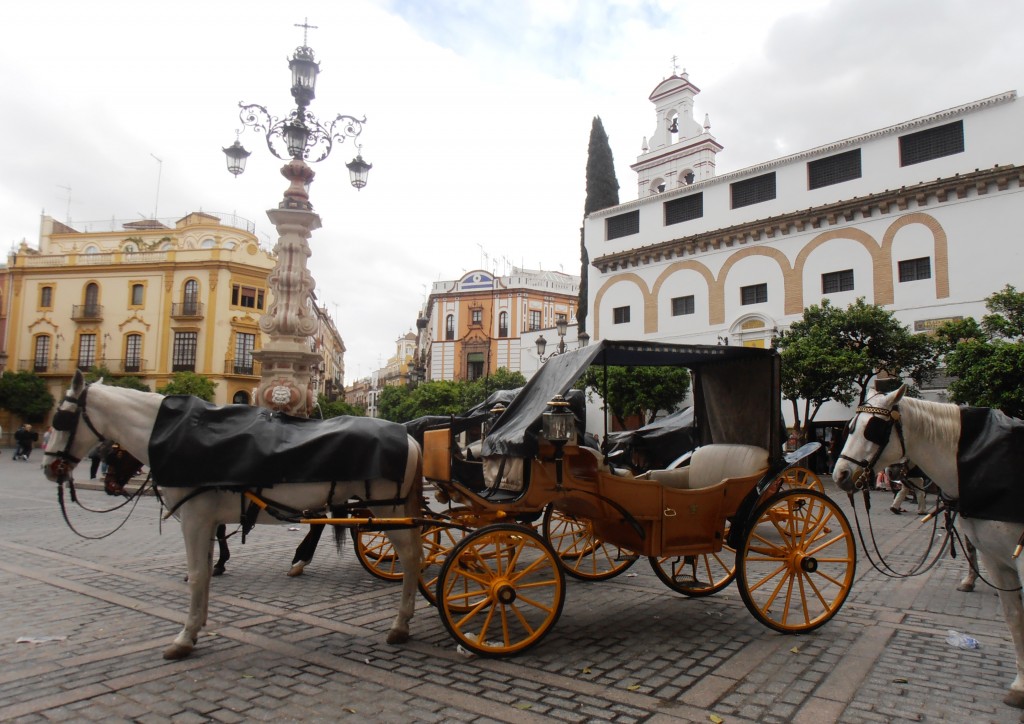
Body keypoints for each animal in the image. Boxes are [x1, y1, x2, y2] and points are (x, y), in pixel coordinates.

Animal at [41, 374, 421, 663]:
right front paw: (198, 623)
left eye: (61, 418)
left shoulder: (195, 519)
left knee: (411, 555)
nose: (48, 467)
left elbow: (197, 575)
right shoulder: (208, 519)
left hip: (387, 508)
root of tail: (409, 438)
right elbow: (207, 571)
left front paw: (184, 636)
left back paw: (400, 623)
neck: (175, 433)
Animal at [831, 387, 1024, 712]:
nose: (841, 475)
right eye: (850, 427)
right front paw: (1020, 686)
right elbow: (1014, 617)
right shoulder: (994, 555)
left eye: (875, 428)